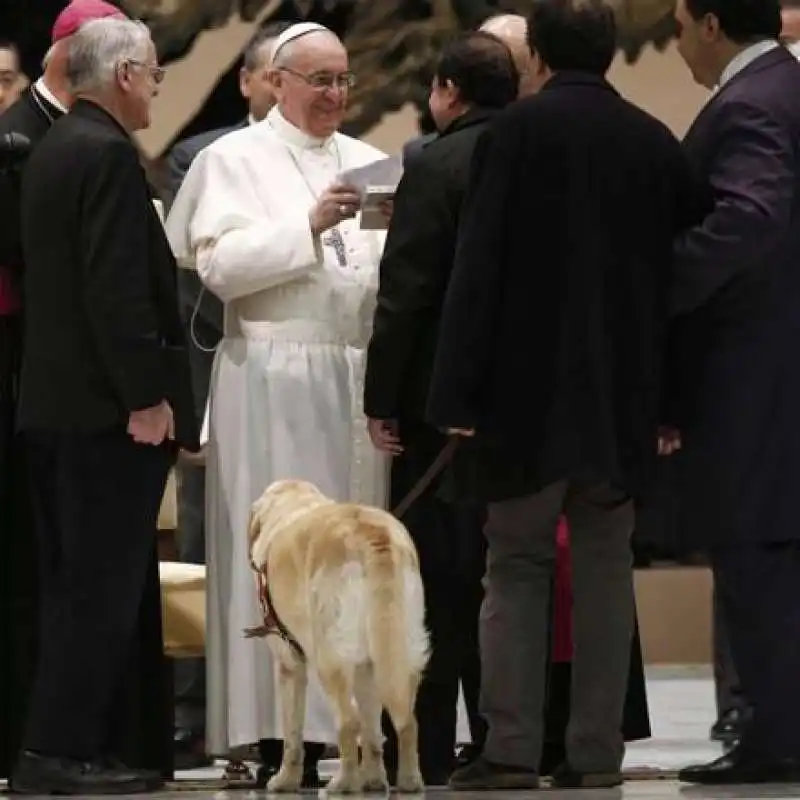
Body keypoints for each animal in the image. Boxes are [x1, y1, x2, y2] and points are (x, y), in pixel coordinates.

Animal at [248, 482, 432, 792]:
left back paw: (342, 783)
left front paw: (285, 780)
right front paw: (374, 778)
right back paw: (408, 781)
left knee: (349, 721)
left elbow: (292, 734)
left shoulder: (289, 664)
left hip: (330, 656)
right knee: (406, 721)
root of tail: (372, 535)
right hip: (400, 650)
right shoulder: (366, 666)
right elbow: (372, 732)